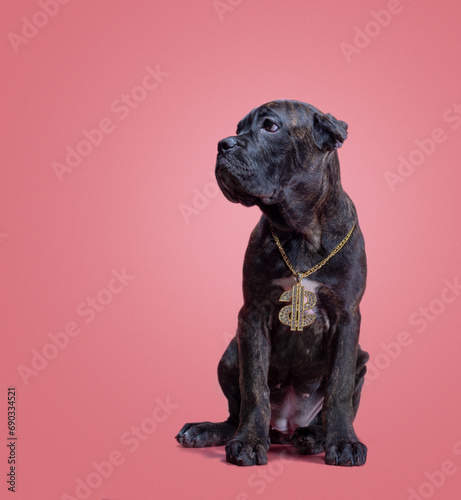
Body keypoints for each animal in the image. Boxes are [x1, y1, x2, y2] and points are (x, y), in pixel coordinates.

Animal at [174, 99, 368, 466]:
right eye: (238, 128)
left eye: (271, 127)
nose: (223, 144)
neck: (300, 231)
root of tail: (285, 427)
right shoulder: (253, 314)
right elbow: (255, 387)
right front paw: (249, 441)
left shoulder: (347, 317)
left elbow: (338, 389)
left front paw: (344, 443)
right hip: (230, 353)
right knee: (234, 415)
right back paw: (207, 431)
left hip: (362, 359)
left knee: (330, 410)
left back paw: (313, 437)